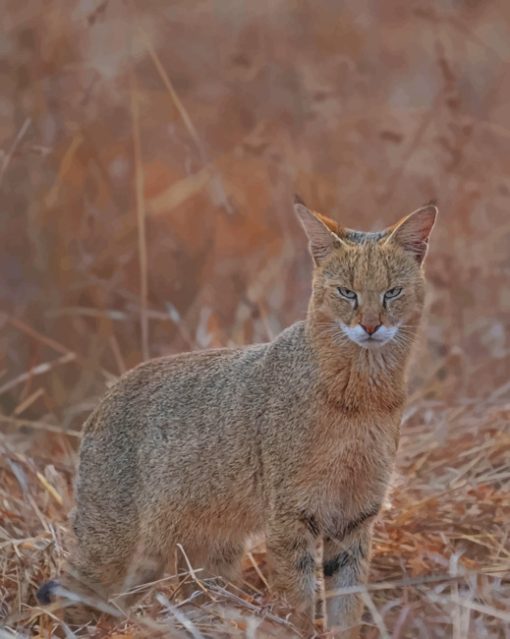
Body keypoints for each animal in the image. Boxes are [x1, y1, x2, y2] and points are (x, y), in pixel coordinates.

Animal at [38, 199, 438, 636]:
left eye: (392, 292)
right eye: (346, 292)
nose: (369, 326)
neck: (361, 400)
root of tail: (105, 397)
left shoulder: (355, 518)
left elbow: (346, 610)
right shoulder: (292, 515)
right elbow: (298, 602)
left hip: (205, 556)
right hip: (111, 551)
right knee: (67, 604)